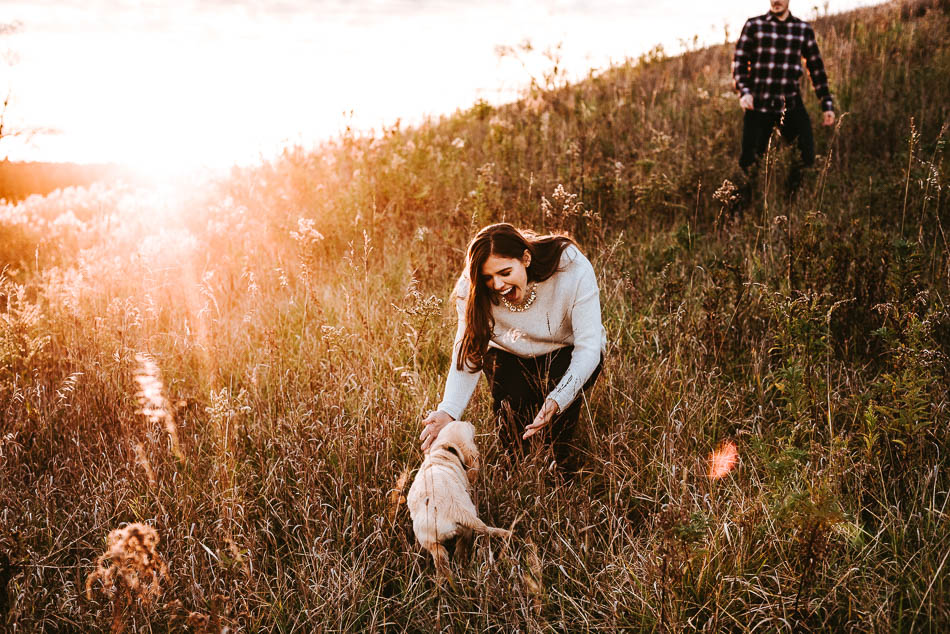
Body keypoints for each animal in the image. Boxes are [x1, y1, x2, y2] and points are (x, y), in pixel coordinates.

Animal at [410, 418, 512, 580]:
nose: (470, 422)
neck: (445, 450)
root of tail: (457, 510)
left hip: (429, 540)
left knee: (442, 562)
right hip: (465, 531)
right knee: (460, 553)